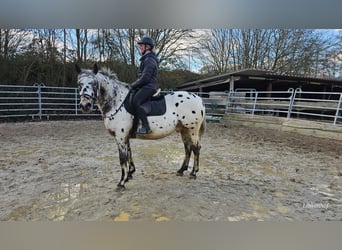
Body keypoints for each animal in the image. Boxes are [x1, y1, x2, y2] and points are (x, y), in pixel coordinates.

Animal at [76, 64, 206, 191]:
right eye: (79, 84)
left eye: (93, 83)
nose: (85, 105)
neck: (117, 102)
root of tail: (198, 98)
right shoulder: (125, 137)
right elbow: (129, 154)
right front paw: (129, 174)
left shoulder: (120, 136)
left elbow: (122, 158)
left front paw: (121, 182)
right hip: (184, 130)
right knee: (188, 148)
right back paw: (181, 170)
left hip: (192, 130)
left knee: (196, 148)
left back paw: (193, 173)